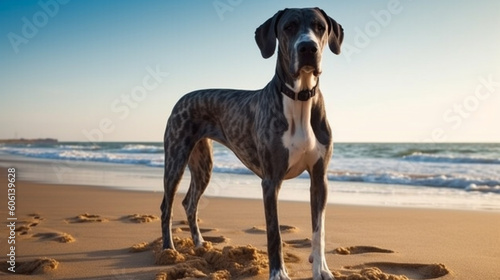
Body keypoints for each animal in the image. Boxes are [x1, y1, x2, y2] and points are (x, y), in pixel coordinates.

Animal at [161, 7, 344, 278]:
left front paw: (321, 268)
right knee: (167, 205)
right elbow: (274, 234)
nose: (308, 48)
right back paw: (168, 250)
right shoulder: (270, 181)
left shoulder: (319, 177)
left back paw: (200, 244)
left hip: (203, 163)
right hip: (176, 156)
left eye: (320, 27)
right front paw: (278, 273)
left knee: (189, 202)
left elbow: (318, 230)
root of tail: (183, 97)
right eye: (289, 27)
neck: (299, 98)